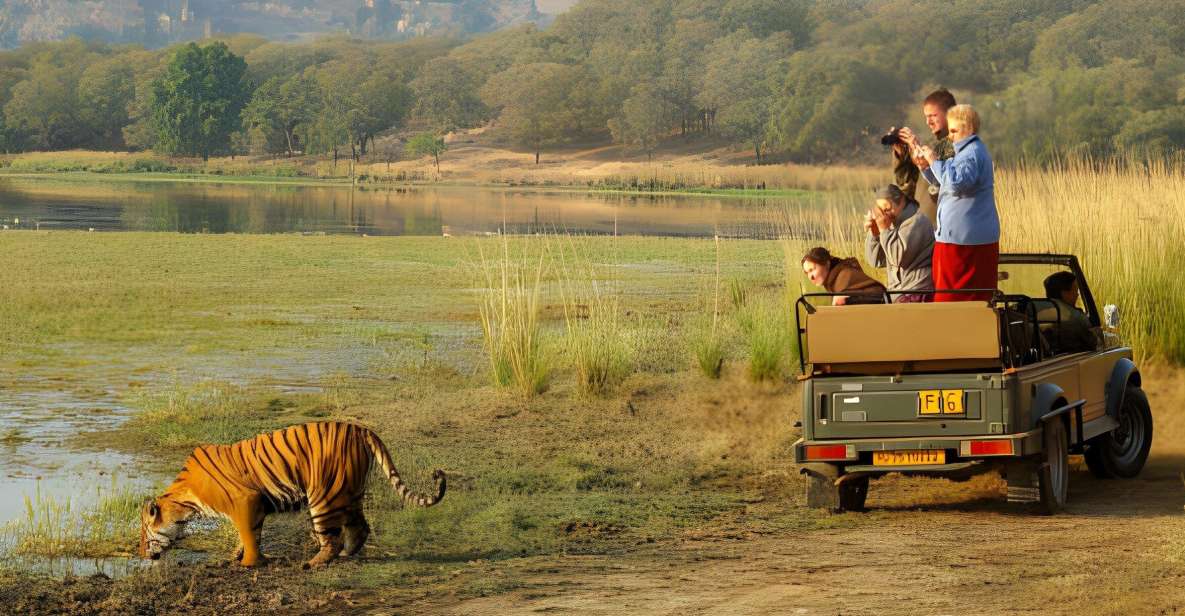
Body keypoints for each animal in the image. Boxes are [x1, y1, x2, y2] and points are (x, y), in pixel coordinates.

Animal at [138, 421, 446, 568]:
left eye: (143, 533)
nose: (141, 553)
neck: (184, 501)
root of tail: (361, 429)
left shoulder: (246, 501)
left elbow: (248, 534)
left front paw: (250, 564)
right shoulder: (253, 507)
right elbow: (248, 535)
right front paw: (237, 557)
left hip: (323, 497)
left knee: (332, 538)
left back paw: (313, 564)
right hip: (350, 492)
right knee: (360, 527)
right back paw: (347, 554)